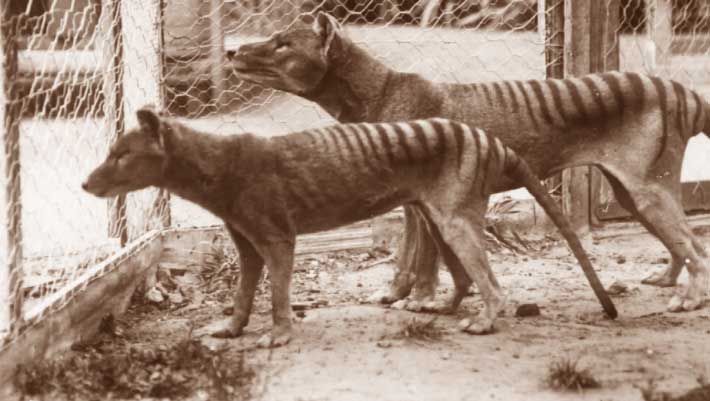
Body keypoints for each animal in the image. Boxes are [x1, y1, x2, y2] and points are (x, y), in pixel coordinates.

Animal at [82, 107, 614, 348]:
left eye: (121, 154)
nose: (86, 182)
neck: (218, 164)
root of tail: (489, 140)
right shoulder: (246, 243)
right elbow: (243, 291)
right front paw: (232, 328)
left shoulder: (277, 236)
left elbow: (278, 293)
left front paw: (278, 334)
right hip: (438, 217)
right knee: (464, 276)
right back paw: (442, 306)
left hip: (455, 219)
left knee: (492, 283)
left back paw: (485, 320)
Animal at [226, 11, 710, 313]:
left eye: (282, 44)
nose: (231, 52)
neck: (380, 91)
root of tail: (681, 91)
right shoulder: (414, 201)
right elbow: (408, 257)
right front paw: (398, 295)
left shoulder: (421, 202)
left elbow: (420, 258)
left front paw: (419, 299)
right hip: (629, 194)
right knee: (682, 245)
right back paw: (669, 280)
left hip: (648, 190)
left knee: (695, 247)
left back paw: (690, 298)